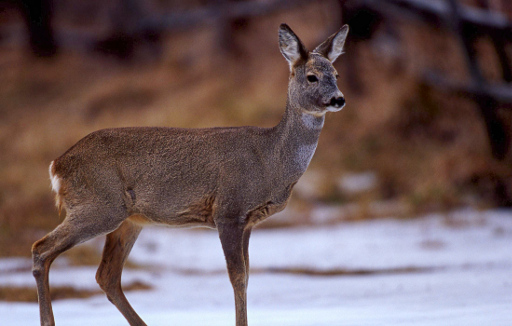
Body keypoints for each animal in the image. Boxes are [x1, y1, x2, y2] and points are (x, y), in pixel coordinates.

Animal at [32, 23, 350, 326]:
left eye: (335, 73)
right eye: (312, 77)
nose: (339, 99)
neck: (270, 160)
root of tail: (57, 164)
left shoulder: (248, 221)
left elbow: (247, 276)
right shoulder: (228, 209)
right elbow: (237, 277)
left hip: (129, 219)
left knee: (106, 275)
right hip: (99, 205)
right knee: (41, 249)